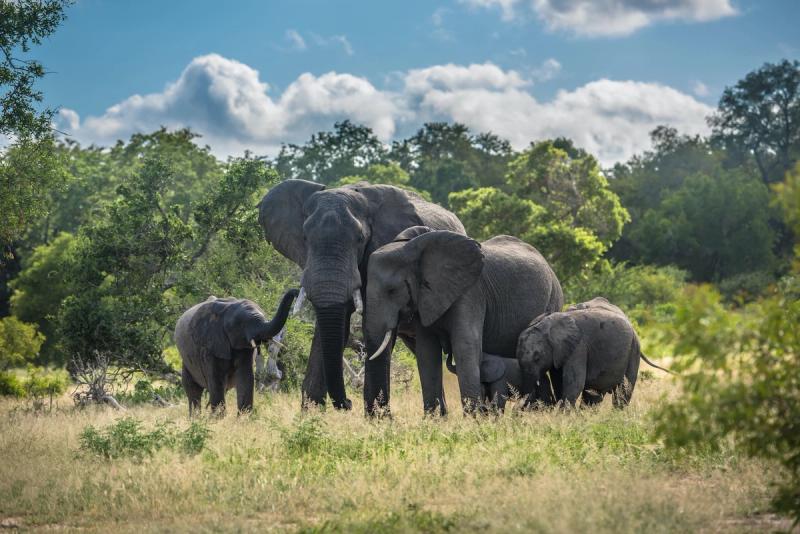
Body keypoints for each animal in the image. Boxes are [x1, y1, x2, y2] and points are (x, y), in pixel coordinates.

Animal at [258, 180, 464, 412]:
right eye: (304, 238)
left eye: (360, 239)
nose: (348, 403)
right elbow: (332, 328)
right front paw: (311, 414)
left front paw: (377, 416)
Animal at [365, 226, 564, 415]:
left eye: (392, 291)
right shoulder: (424, 298)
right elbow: (427, 351)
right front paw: (434, 419)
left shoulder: (470, 292)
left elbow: (465, 345)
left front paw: (473, 418)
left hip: (553, 298)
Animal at [516, 297, 672, 409]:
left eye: (537, 358)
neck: (546, 324)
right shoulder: (560, 352)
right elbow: (559, 381)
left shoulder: (578, 347)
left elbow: (573, 384)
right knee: (594, 395)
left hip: (633, 350)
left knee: (623, 392)